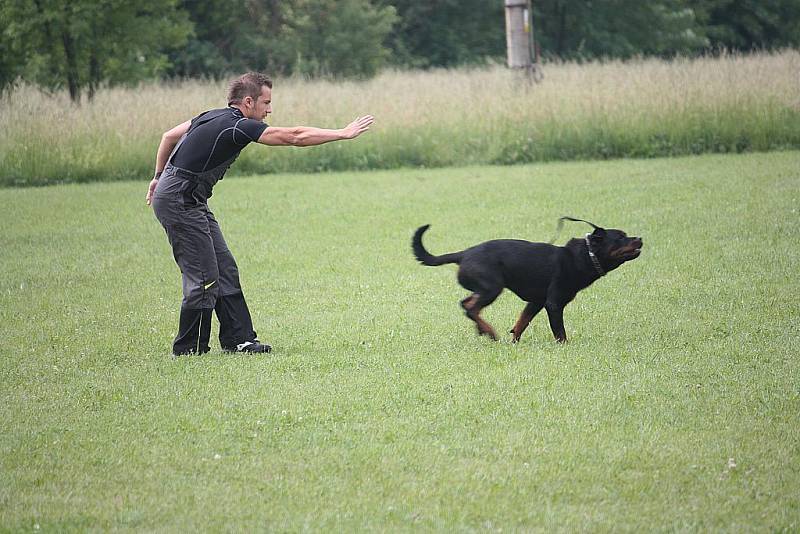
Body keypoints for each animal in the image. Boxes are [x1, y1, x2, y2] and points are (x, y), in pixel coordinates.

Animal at [412, 218, 644, 344]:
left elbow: (521, 323)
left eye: (626, 234)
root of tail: (463, 254)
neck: (585, 256)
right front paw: (565, 346)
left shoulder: (536, 302)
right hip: (492, 287)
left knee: (465, 304)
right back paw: (489, 331)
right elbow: (560, 332)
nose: (640, 238)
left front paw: (514, 342)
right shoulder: (553, 303)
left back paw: (482, 329)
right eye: (620, 237)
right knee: (470, 307)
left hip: (485, 288)